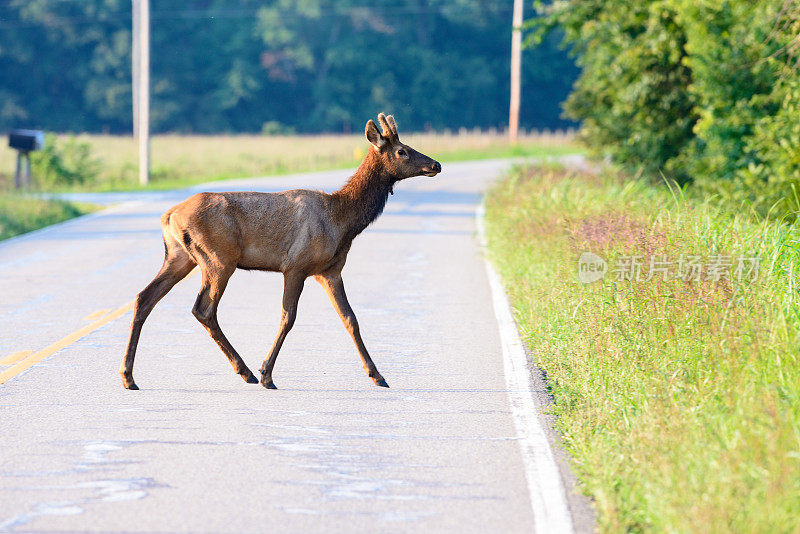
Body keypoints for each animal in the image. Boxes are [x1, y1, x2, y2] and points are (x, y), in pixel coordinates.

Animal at [119, 114, 444, 390]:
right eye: (402, 151)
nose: (436, 165)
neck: (342, 221)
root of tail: (169, 215)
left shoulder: (330, 271)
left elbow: (350, 318)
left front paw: (378, 375)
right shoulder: (296, 265)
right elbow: (289, 317)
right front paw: (267, 374)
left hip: (180, 256)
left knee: (144, 297)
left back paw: (128, 376)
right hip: (219, 258)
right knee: (203, 308)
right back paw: (246, 371)